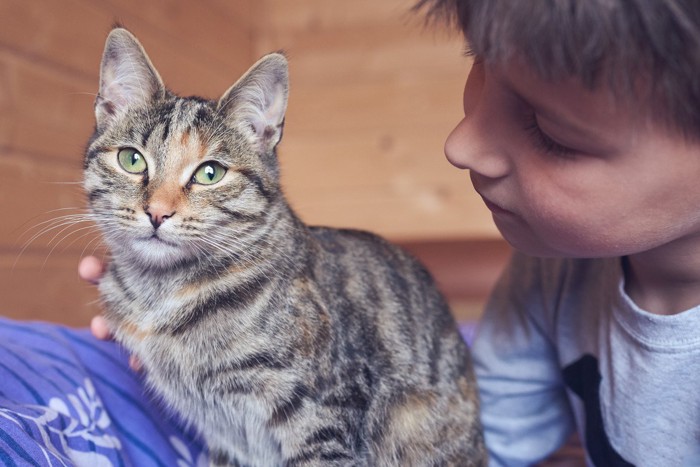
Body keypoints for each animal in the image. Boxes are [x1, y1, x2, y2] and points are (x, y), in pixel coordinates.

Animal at [86, 28, 486, 467]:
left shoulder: (321, 411)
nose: (157, 212)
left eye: (210, 173)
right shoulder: (227, 444)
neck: (160, 293)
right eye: (132, 160)